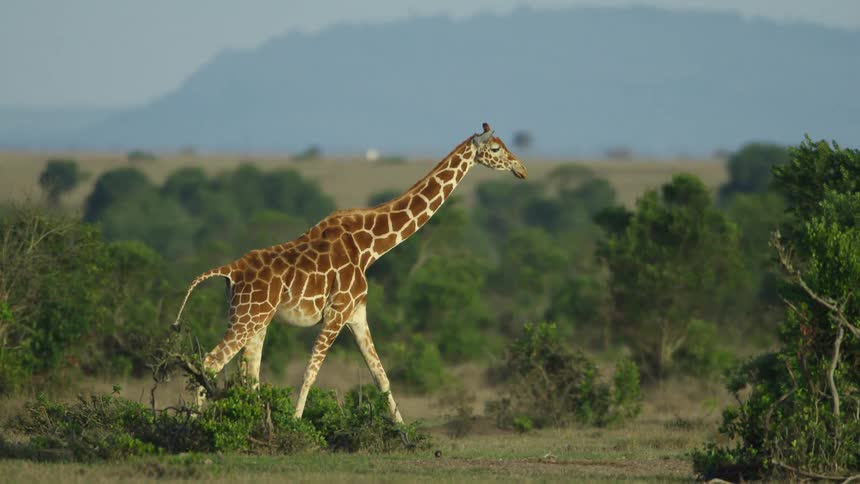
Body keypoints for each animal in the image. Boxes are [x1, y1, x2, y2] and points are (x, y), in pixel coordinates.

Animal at [173, 123, 528, 422]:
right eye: (495, 148)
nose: (521, 169)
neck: (369, 246)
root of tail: (230, 270)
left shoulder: (357, 313)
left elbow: (381, 376)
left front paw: (404, 432)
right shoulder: (336, 312)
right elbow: (310, 372)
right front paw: (296, 424)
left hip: (256, 319)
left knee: (248, 374)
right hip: (247, 317)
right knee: (210, 363)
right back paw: (194, 423)